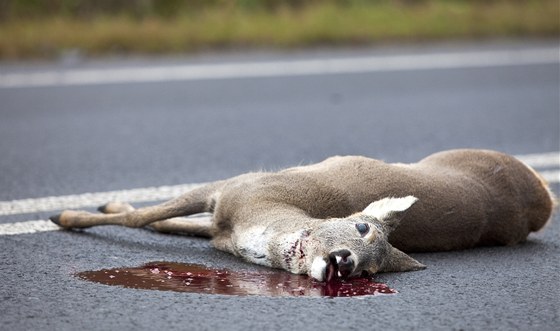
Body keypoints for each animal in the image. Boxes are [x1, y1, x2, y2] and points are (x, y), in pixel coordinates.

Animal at [50, 150, 552, 282]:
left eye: (370, 272)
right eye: (361, 226)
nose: (345, 263)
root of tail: (546, 198)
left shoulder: (229, 210)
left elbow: (163, 222)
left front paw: (72, 214)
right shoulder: (230, 189)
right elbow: (151, 218)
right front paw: (68, 216)